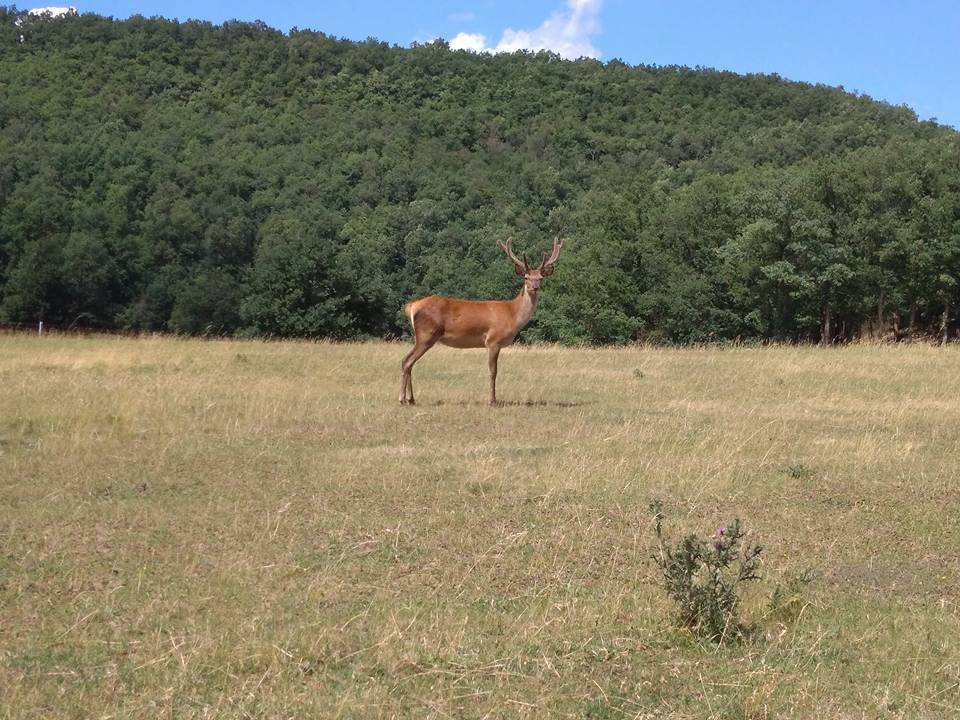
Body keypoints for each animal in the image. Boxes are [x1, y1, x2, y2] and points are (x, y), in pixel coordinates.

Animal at [398, 235, 564, 404]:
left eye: (541, 278)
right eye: (526, 277)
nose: (535, 287)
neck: (512, 314)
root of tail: (412, 306)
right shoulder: (493, 341)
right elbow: (493, 372)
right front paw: (492, 400)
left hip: (423, 336)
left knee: (409, 362)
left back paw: (411, 399)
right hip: (426, 334)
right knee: (407, 361)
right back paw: (402, 399)